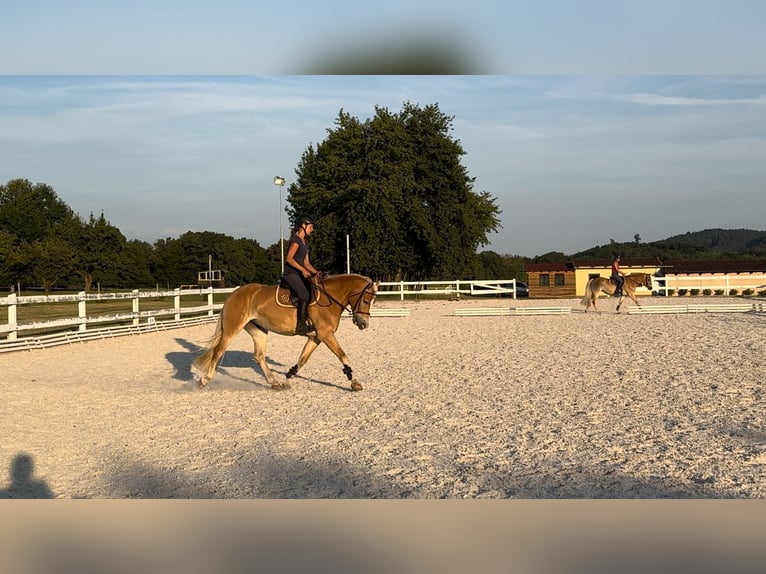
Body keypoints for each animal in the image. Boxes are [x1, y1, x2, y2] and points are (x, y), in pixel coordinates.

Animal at [194, 274, 380, 392]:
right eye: (365, 300)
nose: (363, 324)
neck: (329, 299)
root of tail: (234, 294)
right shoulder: (326, 335)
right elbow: (343, 356)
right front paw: (355, 383)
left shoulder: (316, 337)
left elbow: (302, 360)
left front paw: (287, 379)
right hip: (232, 329)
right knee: (218, 351)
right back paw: (204, 380)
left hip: (259, 331)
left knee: (258, 356)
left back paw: (274, 383)